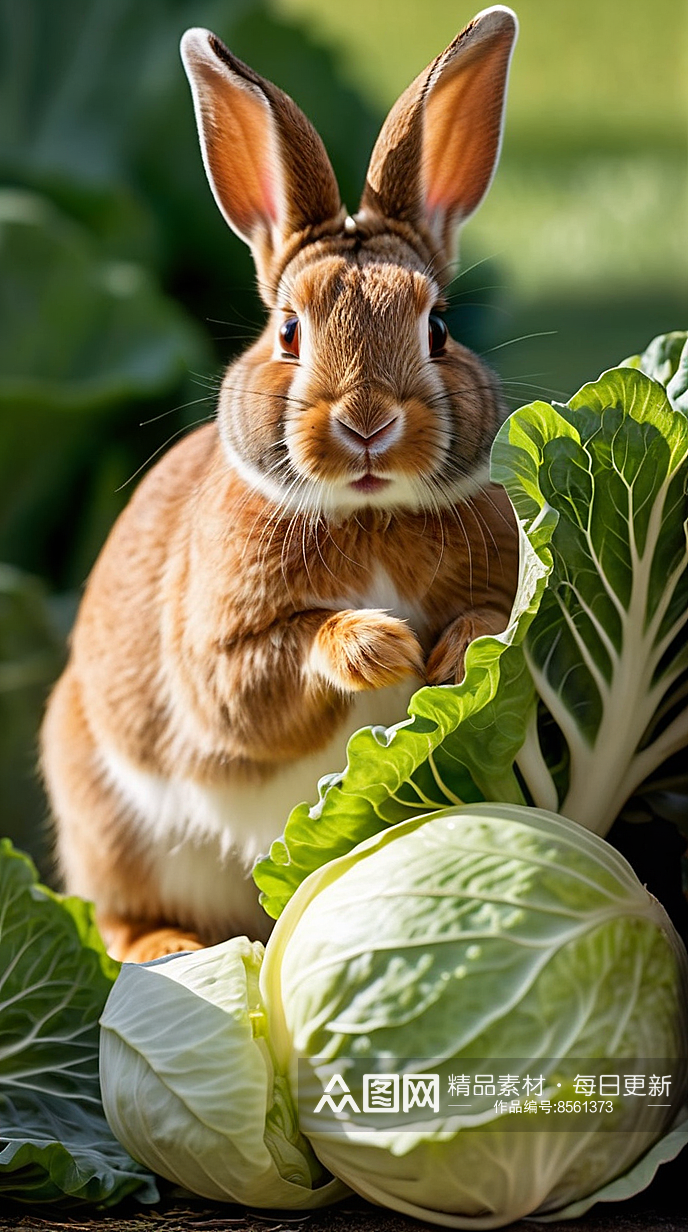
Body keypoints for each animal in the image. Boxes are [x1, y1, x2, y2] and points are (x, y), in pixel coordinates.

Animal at [40, 4, 520, 960]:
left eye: (440, 328)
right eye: (290, 331)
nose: (367, 422)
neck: (370, 514)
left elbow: (491, 618)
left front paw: (450, 655)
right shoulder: (220, 657)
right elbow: (265, 682)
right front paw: (383, 647)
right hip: (104, 815)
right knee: (113, 916)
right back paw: (170, 949)